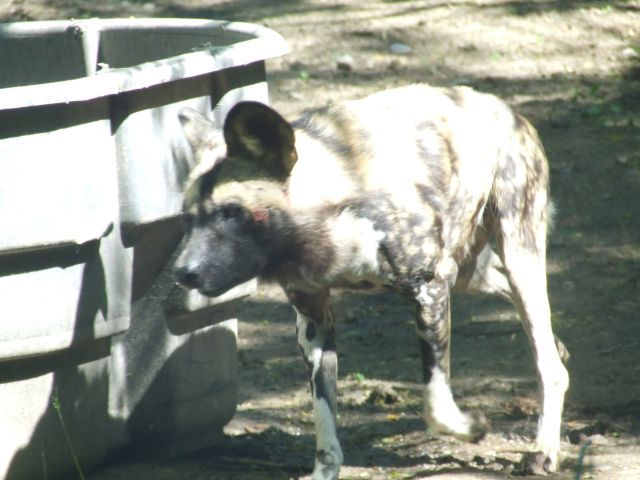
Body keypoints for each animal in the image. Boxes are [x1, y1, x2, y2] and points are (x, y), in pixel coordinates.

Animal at [173, 84, 569, 479]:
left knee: (548, 364)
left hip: (518, 256)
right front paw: (325, 470)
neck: (327, 217)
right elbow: (324, 418)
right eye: (187, 218)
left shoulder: (429, 289)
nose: (182, 272)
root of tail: (503, 107)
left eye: (231, 213)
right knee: (533, 325)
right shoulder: (314, 321)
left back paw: (544, 449)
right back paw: (557, 348)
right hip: (468, 272)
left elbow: (436, 404)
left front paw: (471, 428)